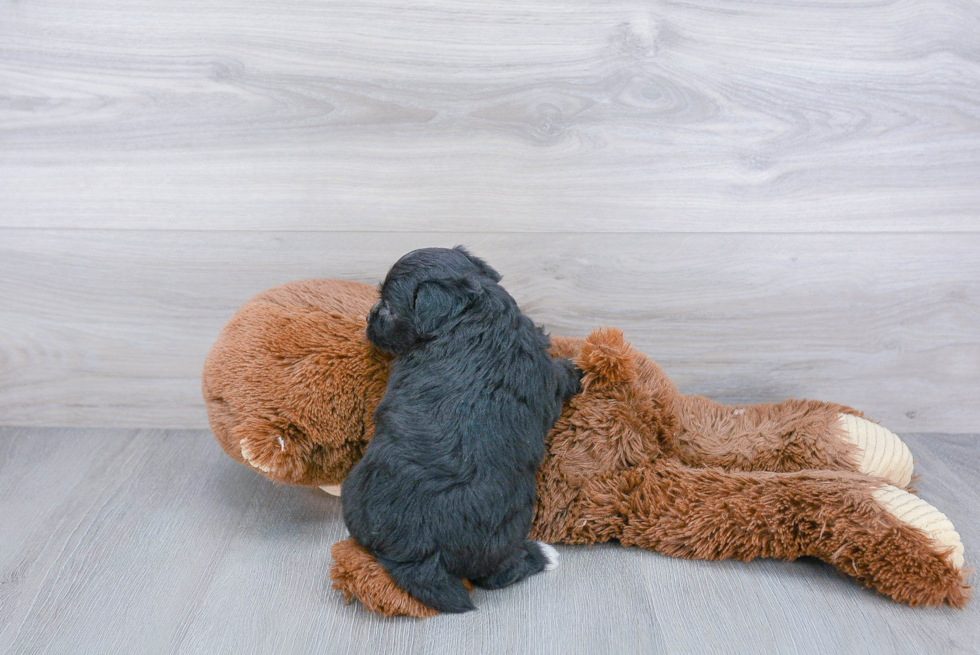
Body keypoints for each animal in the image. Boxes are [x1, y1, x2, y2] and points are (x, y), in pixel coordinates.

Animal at [340, 246, 580, 616]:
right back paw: (543, 555)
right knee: (498, 575)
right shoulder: (544, 374)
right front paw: (575, 371)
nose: (369, 317)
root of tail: (420, 554)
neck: (471, 314)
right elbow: (560, 375)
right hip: (505, 532)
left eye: (390, 307)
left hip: (353, 492)